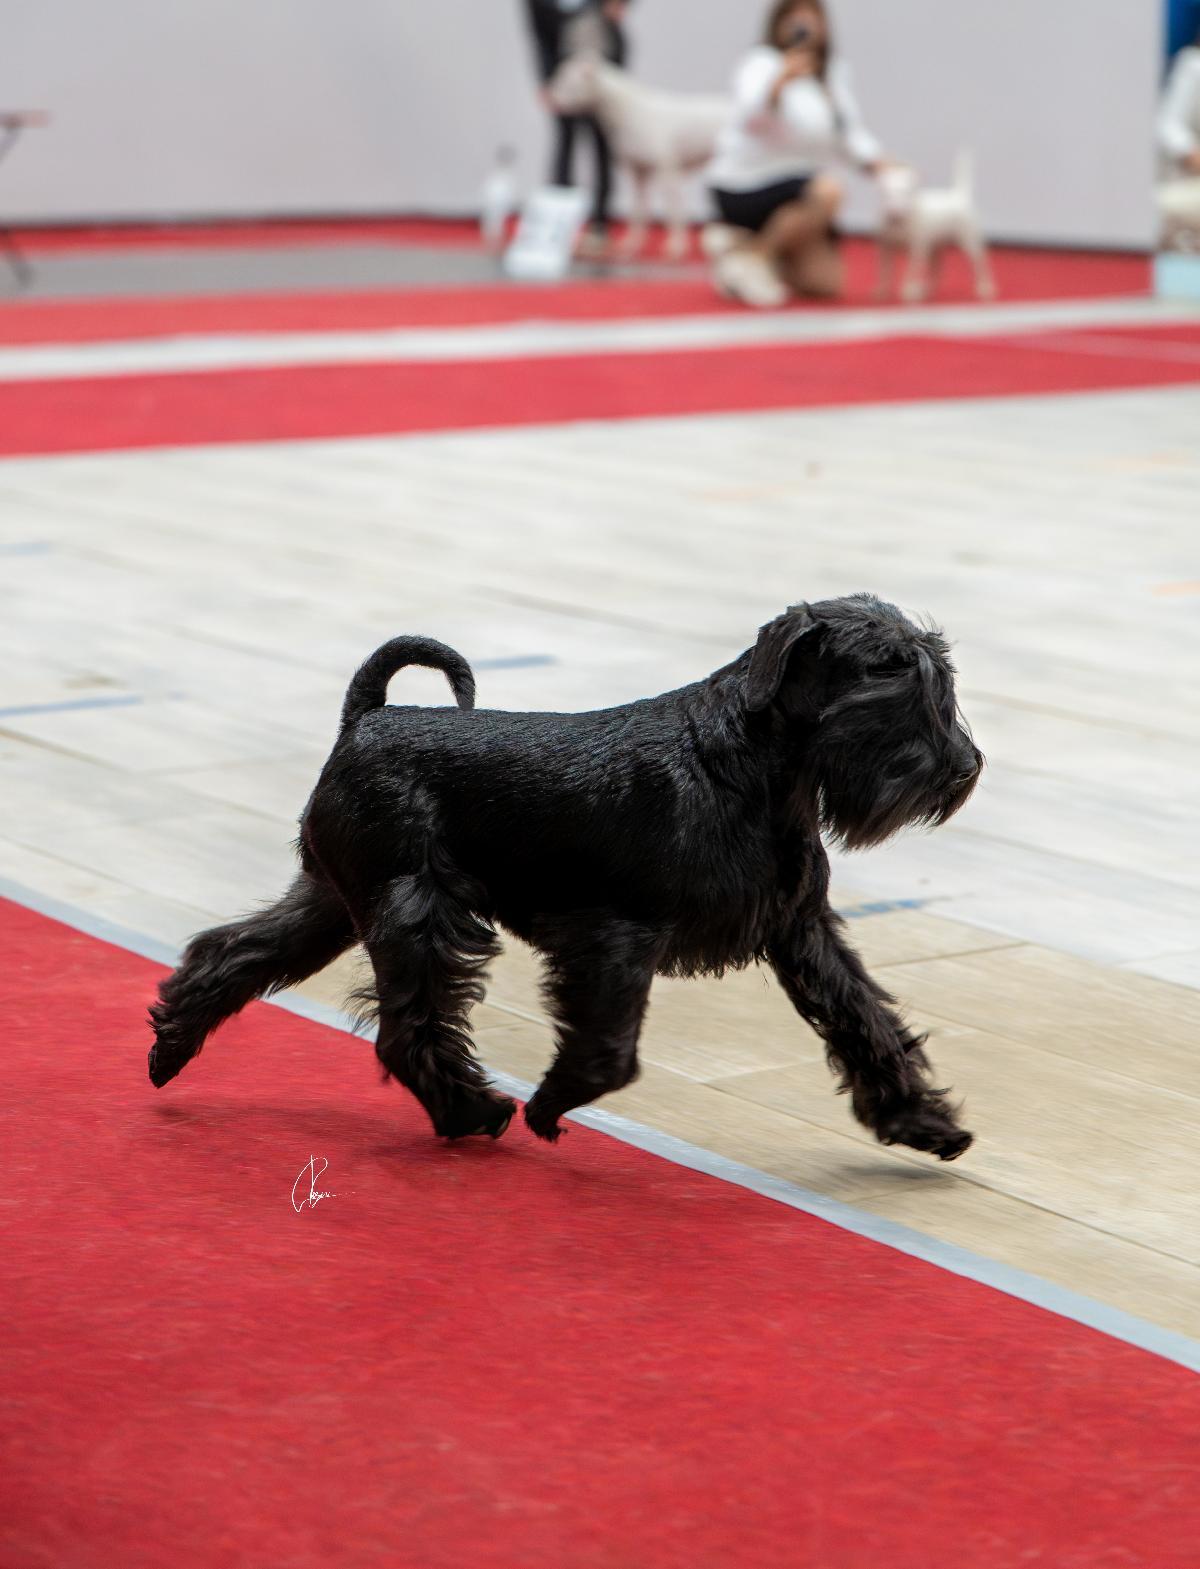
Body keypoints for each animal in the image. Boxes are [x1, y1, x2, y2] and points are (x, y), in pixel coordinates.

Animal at [149, 595, 983, 1162]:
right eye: (888, 672)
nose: (964, 767)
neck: (753, 768)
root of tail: (366, 717)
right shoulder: (613, 937)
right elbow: (609, 1046)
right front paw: (551, 1106)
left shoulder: (801, 929)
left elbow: (867, 1022)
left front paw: (923, 1121)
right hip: (413, 915)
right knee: (406, 1029)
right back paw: (472, 1112)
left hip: (334, 902)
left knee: (232, 953)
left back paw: (167, 1051)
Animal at [546, 53, 728, 261]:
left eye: (565, 79)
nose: (547, 95)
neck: (630, 111)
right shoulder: (639, 172)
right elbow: (638, 212)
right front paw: (633, 244)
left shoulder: (667, 170)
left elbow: (673, 211)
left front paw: (676, 246)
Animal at [876, 152, 996, 303]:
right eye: (885, 192)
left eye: (906, 192)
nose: (893, 212)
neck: (900, 223)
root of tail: (960, 195)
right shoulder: (886, 248)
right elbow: (885, 271)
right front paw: (882, 291)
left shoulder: (916, 249)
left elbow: (911, 270)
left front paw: (909, 290)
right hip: (935, 247)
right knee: (937, 269)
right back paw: (927, 289)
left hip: (969, 242)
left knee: (980, 264)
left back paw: (985, 287)